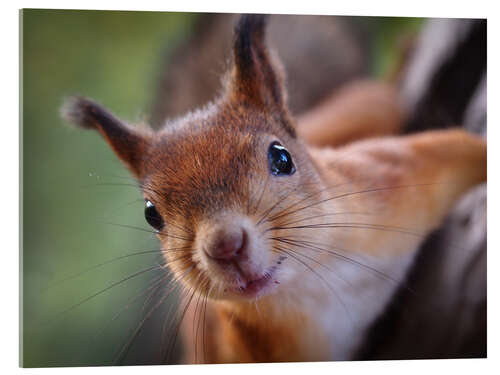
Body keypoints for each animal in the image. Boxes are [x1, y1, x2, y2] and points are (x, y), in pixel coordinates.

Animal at [60, 14, 486, 364]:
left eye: (281, 158)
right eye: (151, 214)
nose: (225, 246)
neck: (311, 284)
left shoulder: (394, 180)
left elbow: (462, 150)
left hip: (367, 110)